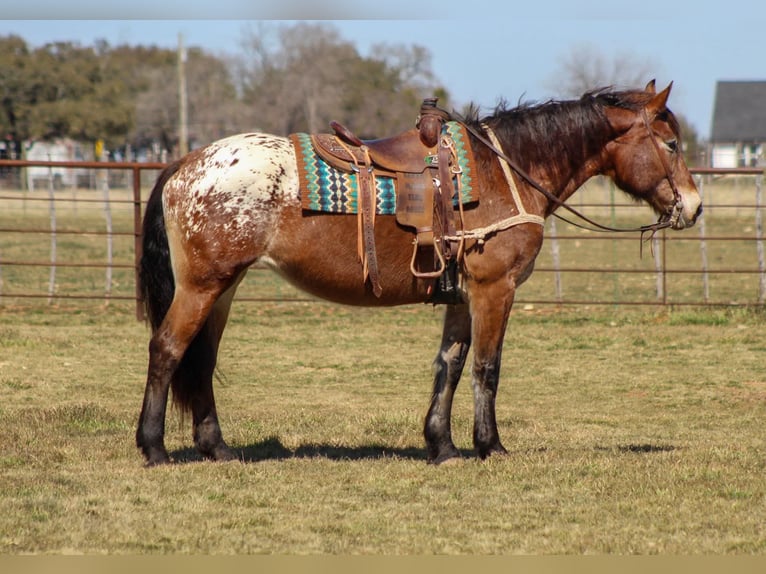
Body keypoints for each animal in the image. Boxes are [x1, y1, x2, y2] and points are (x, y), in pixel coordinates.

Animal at [136, 81, 702, 466]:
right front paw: (490, 445)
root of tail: (186, 164)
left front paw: (441, 444)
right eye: (671, 144)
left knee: (202, 360)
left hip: (223, 289)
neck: (505, 172)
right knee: (167, 350)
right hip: (202, 287)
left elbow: (449, 365)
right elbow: (487, 368)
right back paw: (154, 447)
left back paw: (217, 448)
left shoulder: (462, 298)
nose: (693, 207)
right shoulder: (495, 291)